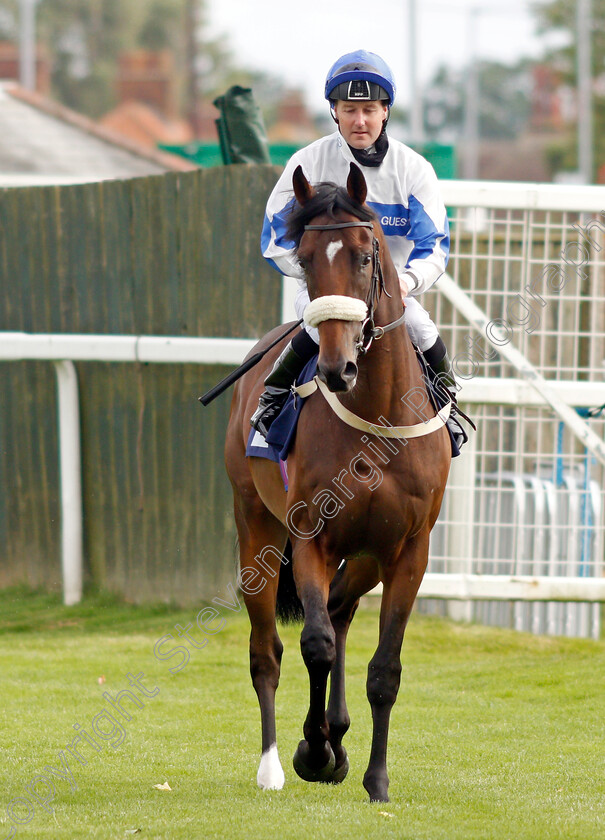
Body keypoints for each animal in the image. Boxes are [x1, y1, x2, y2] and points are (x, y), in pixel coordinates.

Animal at [224, 162, 450, 800]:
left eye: (365, 253)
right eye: (303, 256)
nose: (335, 366)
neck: (377, 417)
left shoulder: (408, 551)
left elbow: (385, 669)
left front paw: (376, 779)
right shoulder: (310, 537)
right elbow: (314, 644)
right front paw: (313, 750)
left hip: (368, 555)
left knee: (343, 610)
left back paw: (340, 733)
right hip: (256, 527)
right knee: (269, 650)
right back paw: (276, 763)